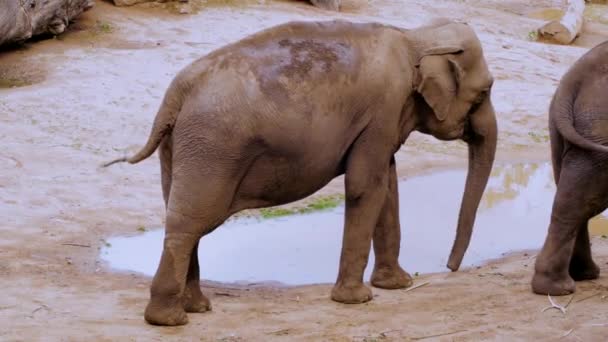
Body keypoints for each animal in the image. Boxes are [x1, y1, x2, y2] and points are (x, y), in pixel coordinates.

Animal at [103, 18, 498, 326]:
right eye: (484, 93)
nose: (450, 267)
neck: (415, 37)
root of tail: (176, 93)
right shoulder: (382, 111)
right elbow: (364, 187)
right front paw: (358, 300)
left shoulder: (385, 120)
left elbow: (387, 185)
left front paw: (396, 285)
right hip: (212, 147)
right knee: (190, 222)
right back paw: (170, 320)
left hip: (180, 148)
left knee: (182, 212)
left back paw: (196, 308)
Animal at [532, 40, 608, 296]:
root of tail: (574, 78)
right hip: (596, 124)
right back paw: (558, 287)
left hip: (560, 129)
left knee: (574, 194)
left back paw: (582, 276)